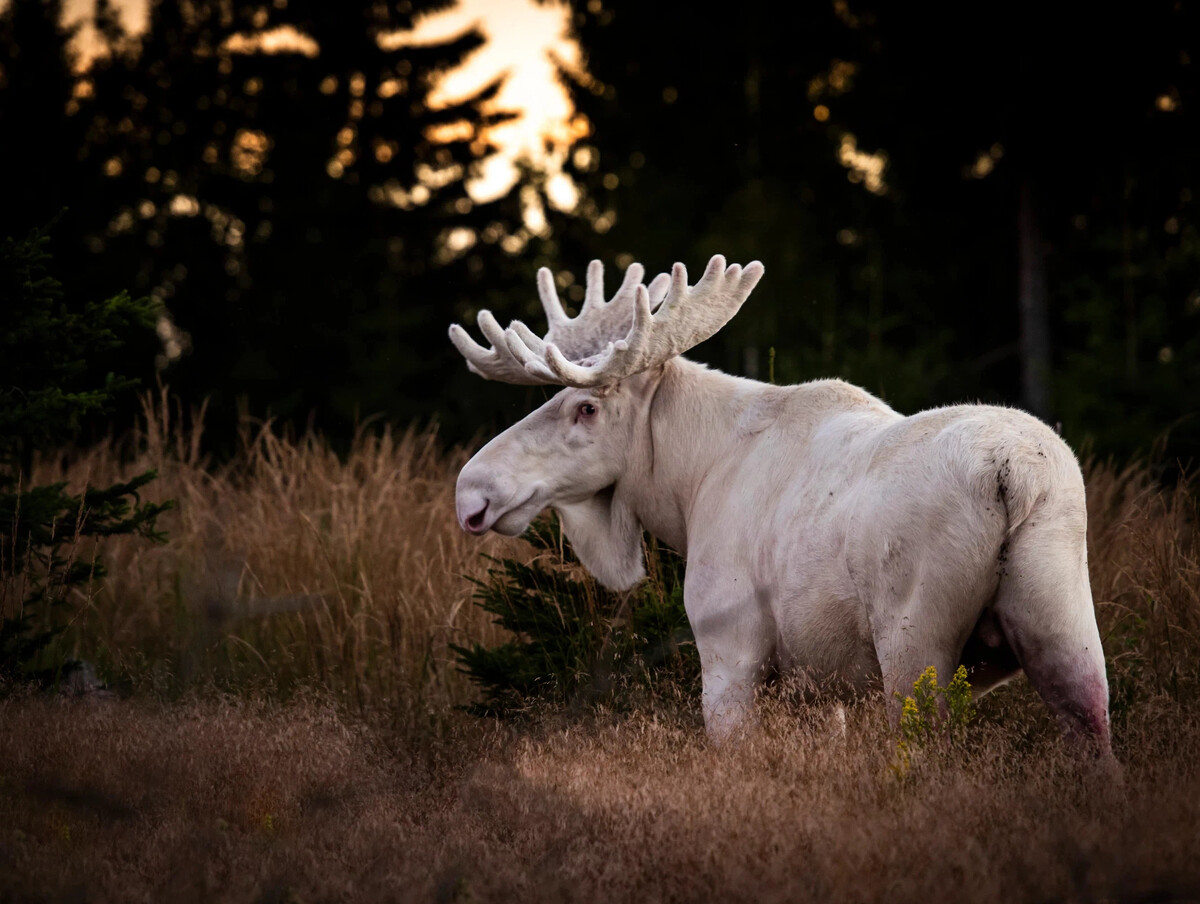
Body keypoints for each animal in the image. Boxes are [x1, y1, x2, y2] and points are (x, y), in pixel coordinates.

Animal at [451, 250, 1113, 749]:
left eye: (585, 408)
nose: (470, 491)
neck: (686, 489)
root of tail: (1015, 477)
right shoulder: (818, 685)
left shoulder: (730, 649)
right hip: (1065, 621)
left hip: (914, 640)